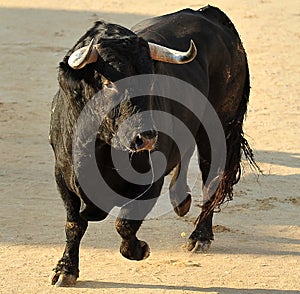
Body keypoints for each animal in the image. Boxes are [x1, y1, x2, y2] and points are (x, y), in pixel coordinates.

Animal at [49, 5, 258, 286]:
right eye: (107, 83)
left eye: (150, 81)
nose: (146, 137)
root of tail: (208, 13)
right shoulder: (63, 176)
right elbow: (74, 225)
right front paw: (66, 270)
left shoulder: (150, 180)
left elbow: (125, 223)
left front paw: (140, 250)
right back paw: (181, 201)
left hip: (219, 131)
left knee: (211, 180)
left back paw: (200, 237)